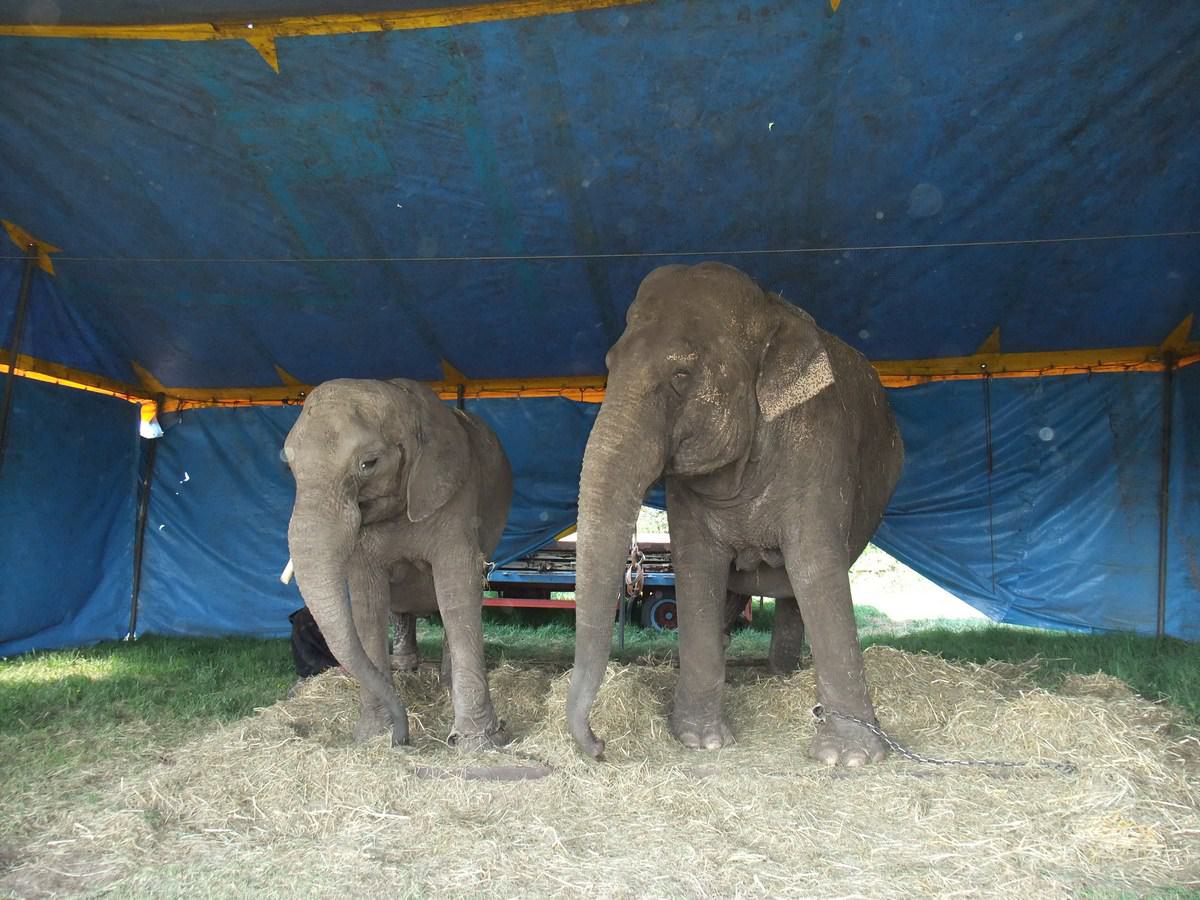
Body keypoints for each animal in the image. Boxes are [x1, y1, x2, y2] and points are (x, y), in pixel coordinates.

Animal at [283, 378, 513, 749]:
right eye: (287, 467)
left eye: (369, 463)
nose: (403, 737)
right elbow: (367, 603)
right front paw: (374, 736)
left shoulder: (455, 493)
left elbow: (457, 587)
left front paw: (477, 743)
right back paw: (405, 668)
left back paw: (445, 683)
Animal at [567, 262, 904, 766]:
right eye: (608, 365)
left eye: (681, 374)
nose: (599, 745)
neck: (769, 312)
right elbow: (697, 570)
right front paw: (700, 740)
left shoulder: (819, 447)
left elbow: (816, 567)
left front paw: (849, 758)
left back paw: (781, 676)